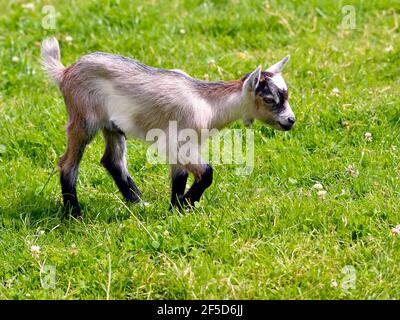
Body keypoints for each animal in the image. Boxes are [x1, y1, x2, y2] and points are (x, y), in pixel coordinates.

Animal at [42, 37, 296, 218]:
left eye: (286, 95)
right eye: (269, 99)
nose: (291, 120)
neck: (208, 103)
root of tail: (65, 72)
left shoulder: (184, 145)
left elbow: (179, 178)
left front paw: (176, 209)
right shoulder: (174, 142)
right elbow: (207, 172)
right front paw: (184, 205)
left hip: (111, 125)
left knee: (113, 160)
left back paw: (138, 203)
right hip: (83, 120)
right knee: (67, 164)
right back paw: (75, 215)